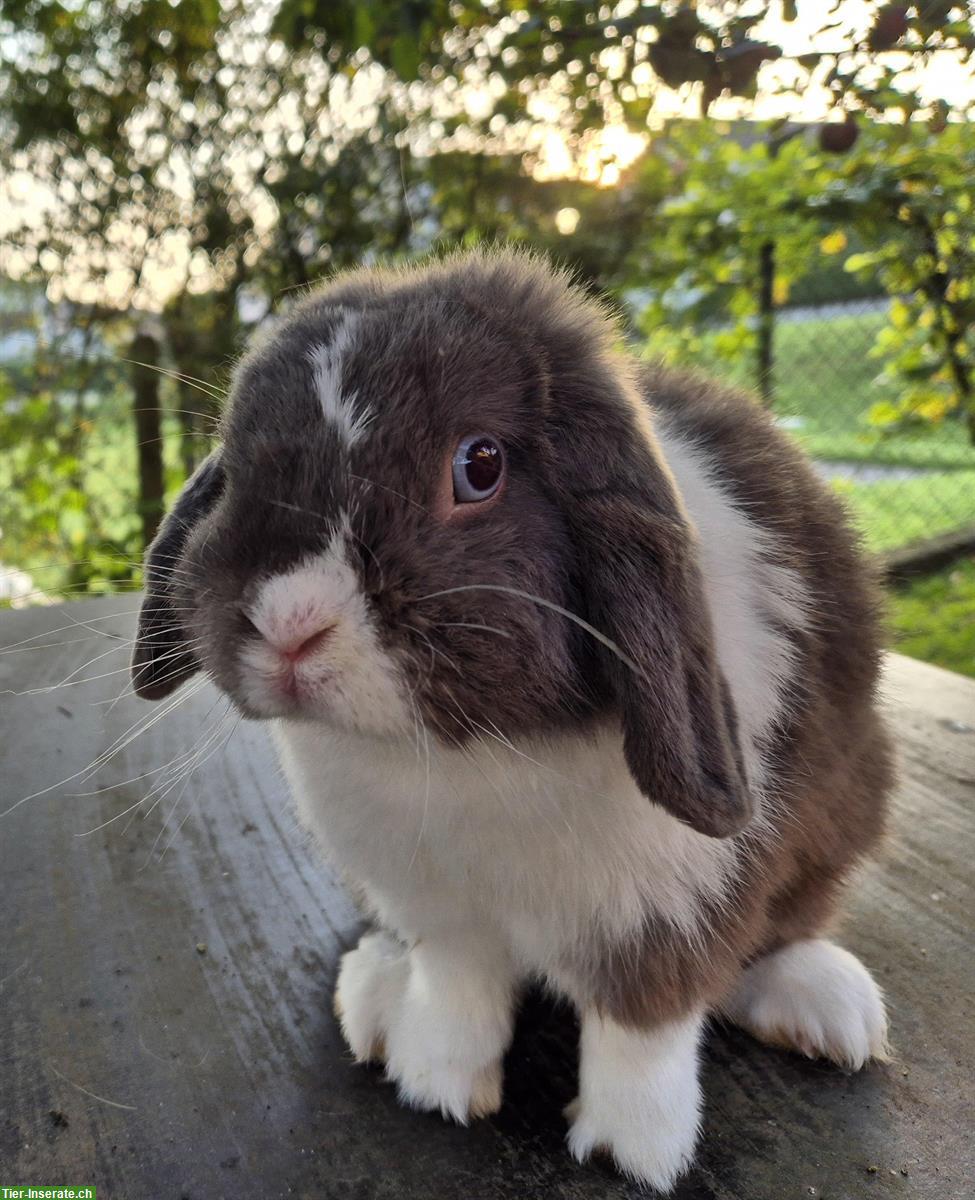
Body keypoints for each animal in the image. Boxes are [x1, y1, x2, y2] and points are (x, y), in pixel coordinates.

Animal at [133, 246, 893, 1190]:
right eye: (234, 470)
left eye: (480, 465)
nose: (288, 626)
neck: (465, 753)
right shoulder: (438, 904)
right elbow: (456, 987)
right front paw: (436, 1085)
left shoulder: (673, 910)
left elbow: (643, 1026)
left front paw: (632, 1151)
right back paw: (374, 993)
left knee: (787, 931)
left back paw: (826, 1007)